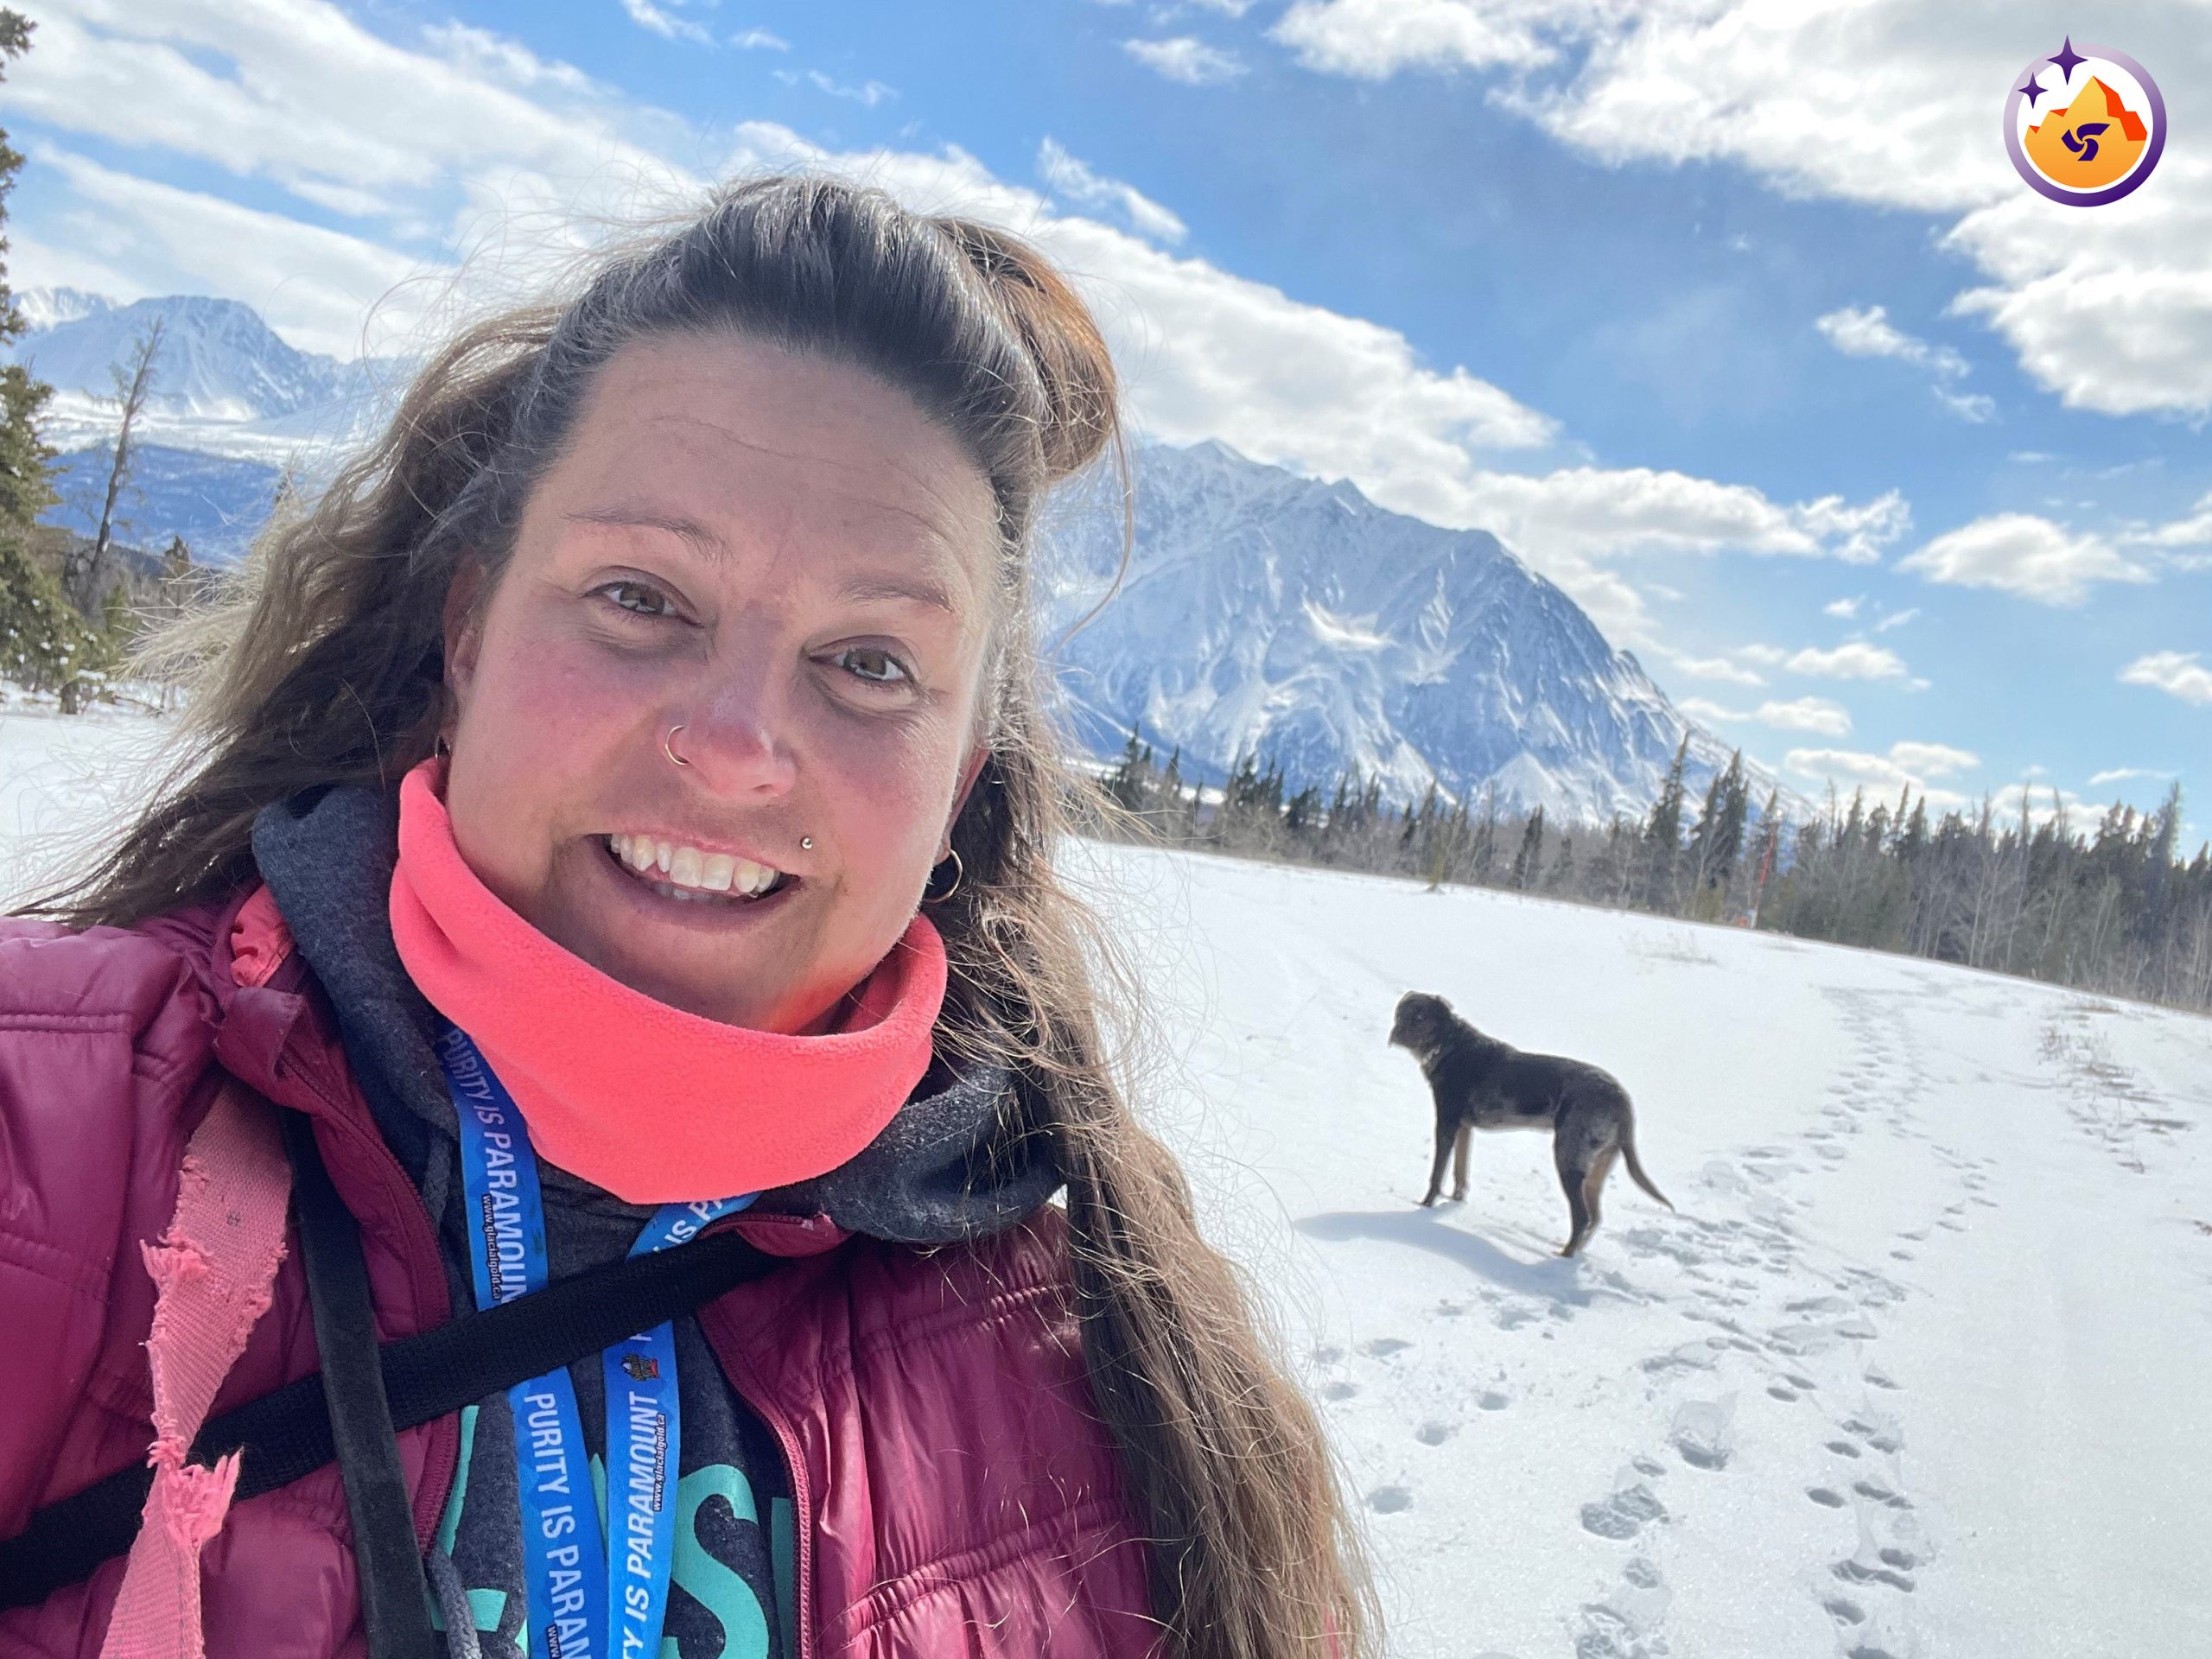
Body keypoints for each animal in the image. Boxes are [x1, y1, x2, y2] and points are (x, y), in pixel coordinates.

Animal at [1380, 995, 1672, 1256]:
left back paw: (1562, 1257)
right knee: (1594, 1216)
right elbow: (1460, 1172)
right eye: (1400, 1013)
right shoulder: (1464, 1128)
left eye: (1420, 1017)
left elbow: (1437, 1173)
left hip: (1569, 1153)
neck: (1448, 1044)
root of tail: (1622, 1102)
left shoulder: (1447, 1122)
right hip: (1598, 1164)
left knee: (1581, 1216)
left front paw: (1424, 1206)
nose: (1396, 1032)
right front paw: (1456, 1200)